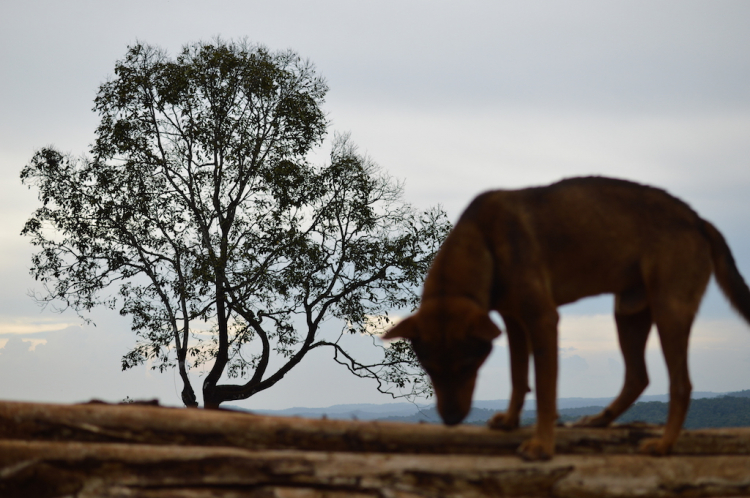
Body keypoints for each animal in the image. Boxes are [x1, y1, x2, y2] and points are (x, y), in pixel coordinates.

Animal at [384, 177, 750, 462]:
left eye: (466, 367)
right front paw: (511, 421)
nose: (450, 420)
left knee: (680, 385)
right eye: (430, 370)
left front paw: (542, 446)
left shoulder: (543, 318)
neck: (484, 240)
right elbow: (519, 377)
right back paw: (600, 421)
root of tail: (699, 220)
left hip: (669, 312)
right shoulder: (513, 321)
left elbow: (545, 390)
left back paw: (663, 445)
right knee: (638, 376)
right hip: (629, 313)